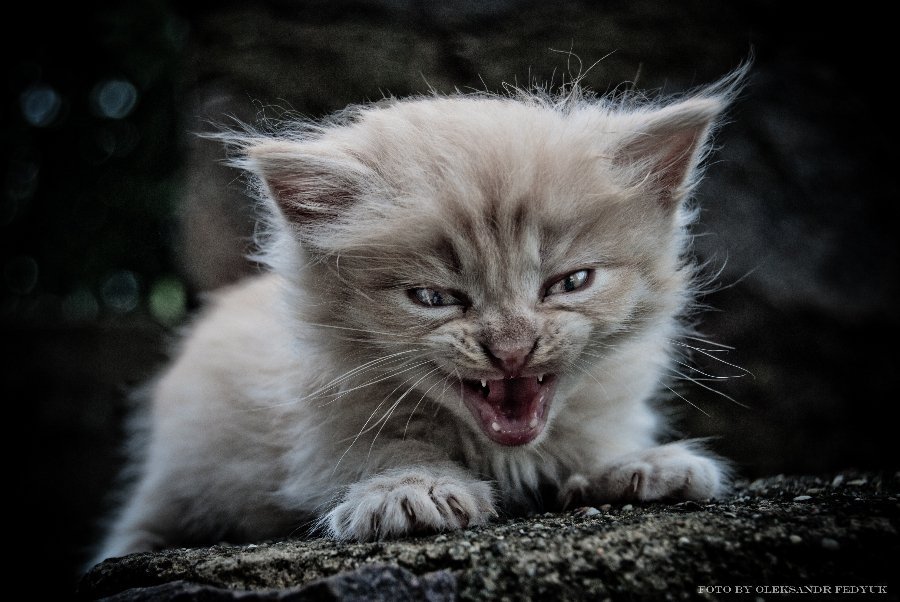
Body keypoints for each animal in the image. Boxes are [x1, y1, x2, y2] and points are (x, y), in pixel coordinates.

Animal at [96, 67, 745, 562]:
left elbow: (589, 439)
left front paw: (635, 465)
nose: (512, 347)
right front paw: (411, 490)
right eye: (434, 299)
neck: (502, 455)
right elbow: (385, 448)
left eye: (571, 282)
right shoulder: (318, 423)